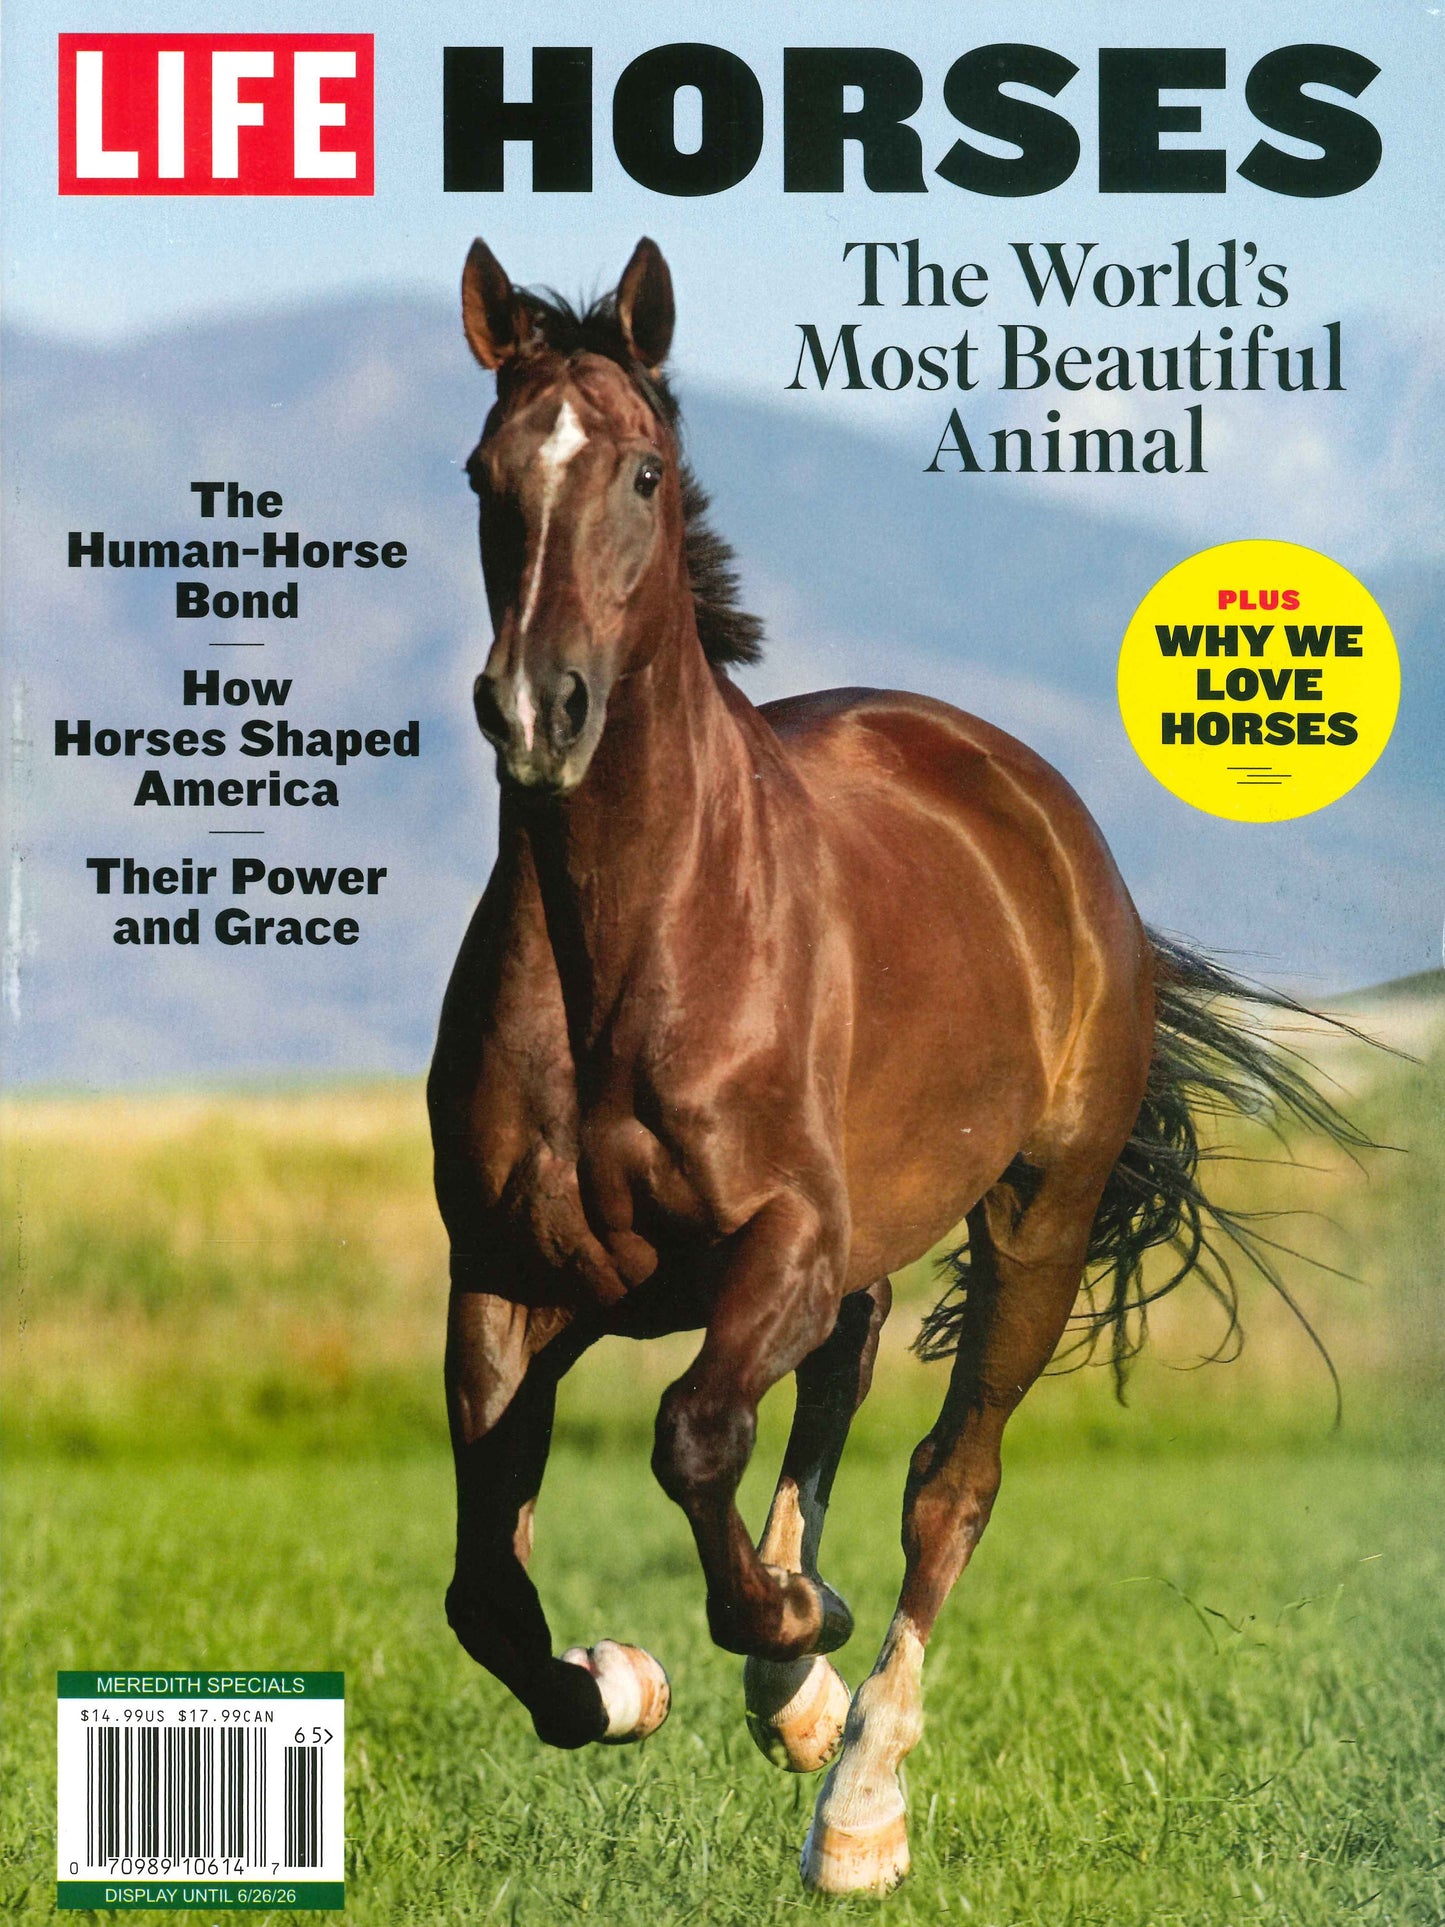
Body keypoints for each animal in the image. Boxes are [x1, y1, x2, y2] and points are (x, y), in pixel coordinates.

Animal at [427, 237, 1364, 1896]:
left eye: (643, 472)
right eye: (484, 472)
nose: (539, 710)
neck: (628, 952)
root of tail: (1032, 802)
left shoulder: (777, 1244)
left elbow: (693, 1435)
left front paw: (796, 1661)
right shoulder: (507, 1278)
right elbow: (489, 1585)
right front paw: (628, 1680)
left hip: (1034, 1223)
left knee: (947, 1479)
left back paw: (856, 1789)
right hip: (843, 1255)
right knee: (832, 1398)